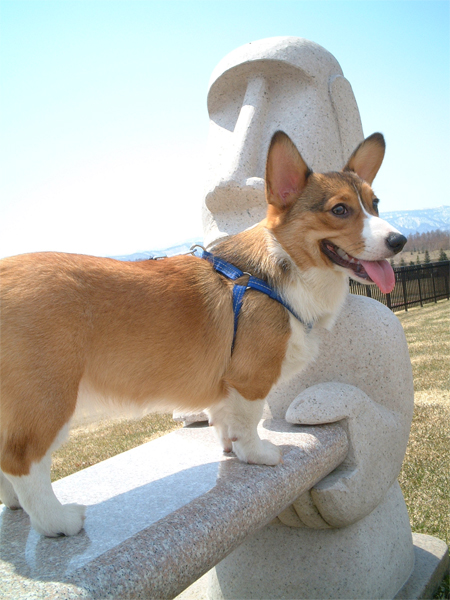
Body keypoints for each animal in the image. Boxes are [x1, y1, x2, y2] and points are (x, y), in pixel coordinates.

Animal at [0, 131, 406, 537]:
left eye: (375, 204)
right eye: (339, 210)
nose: (399, 241)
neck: (284, 266)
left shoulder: (227, 385)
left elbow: (224, 417)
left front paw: (230, 448)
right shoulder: (250, 378)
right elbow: (248, 421)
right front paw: (257, 454)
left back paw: (14, 505)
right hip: (48, 397)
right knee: (21, 461)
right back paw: (57, 520)